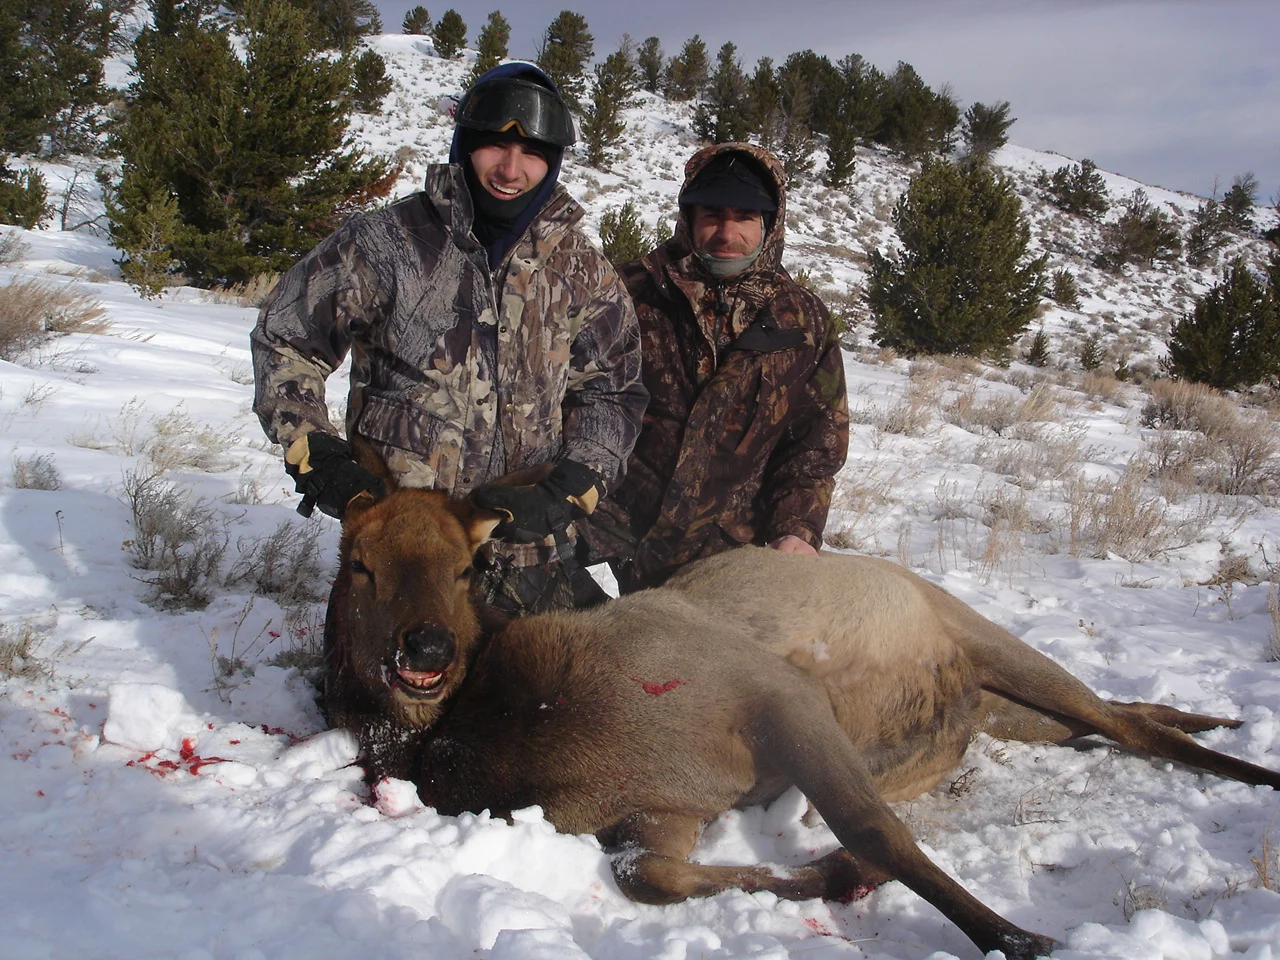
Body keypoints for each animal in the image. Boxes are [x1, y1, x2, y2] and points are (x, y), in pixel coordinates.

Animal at [322, 484, 1280, 960]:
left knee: (1124, 722)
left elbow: (878, 830)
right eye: (358, 564)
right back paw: (1224, 718)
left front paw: (1017, 935)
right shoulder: (650, 813)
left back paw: (1255, 764)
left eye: (466, 566)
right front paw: (831, 877)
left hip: (991, 643)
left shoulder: (777, 697)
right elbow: (654, 879)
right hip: (999, 707)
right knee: (1121, 713)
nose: (423, 646)